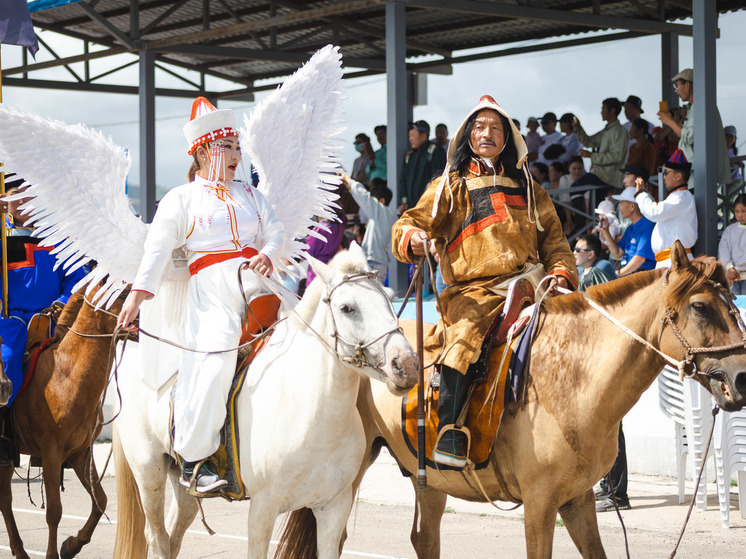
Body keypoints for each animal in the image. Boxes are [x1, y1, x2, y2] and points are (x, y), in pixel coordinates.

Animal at [0, 288, 123, 559]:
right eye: (122, 294)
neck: (68, 376)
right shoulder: (51, 453)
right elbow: (54, 511)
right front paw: (54, 553)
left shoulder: (80, 453)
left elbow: (100, 500)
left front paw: (71, 545)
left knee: (5, 498)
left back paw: (20, 550)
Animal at [110, 248, 418, 559]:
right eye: (347, 308)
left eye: (388, 298)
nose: (407, 365)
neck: (313, 415)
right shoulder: (262, 509)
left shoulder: (333, 507)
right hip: (148, 468)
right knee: (157, 537)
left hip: (181, 482)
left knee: (173, 535)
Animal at [278, 244, 744, 559]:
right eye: (701, 307)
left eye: (734, 307)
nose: (741, 377)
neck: (575, 378)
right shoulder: (539, 506)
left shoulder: (578, 500)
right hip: (352, 473)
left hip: (427, 480)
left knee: (424, 538)